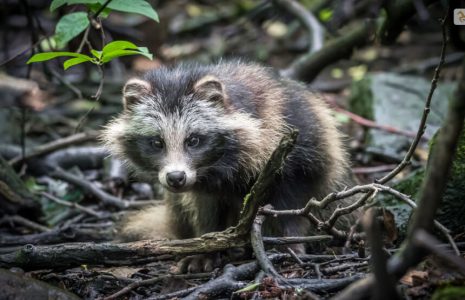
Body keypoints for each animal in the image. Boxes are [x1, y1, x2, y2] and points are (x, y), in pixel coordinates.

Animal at [102, 59, 356, 270]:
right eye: (157, 142)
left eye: (193, 140)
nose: (176, 177)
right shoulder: (203, 183)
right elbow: (205, 208)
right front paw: (206, 246)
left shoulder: (300, 141)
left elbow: (294, 200)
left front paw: (289, 241)